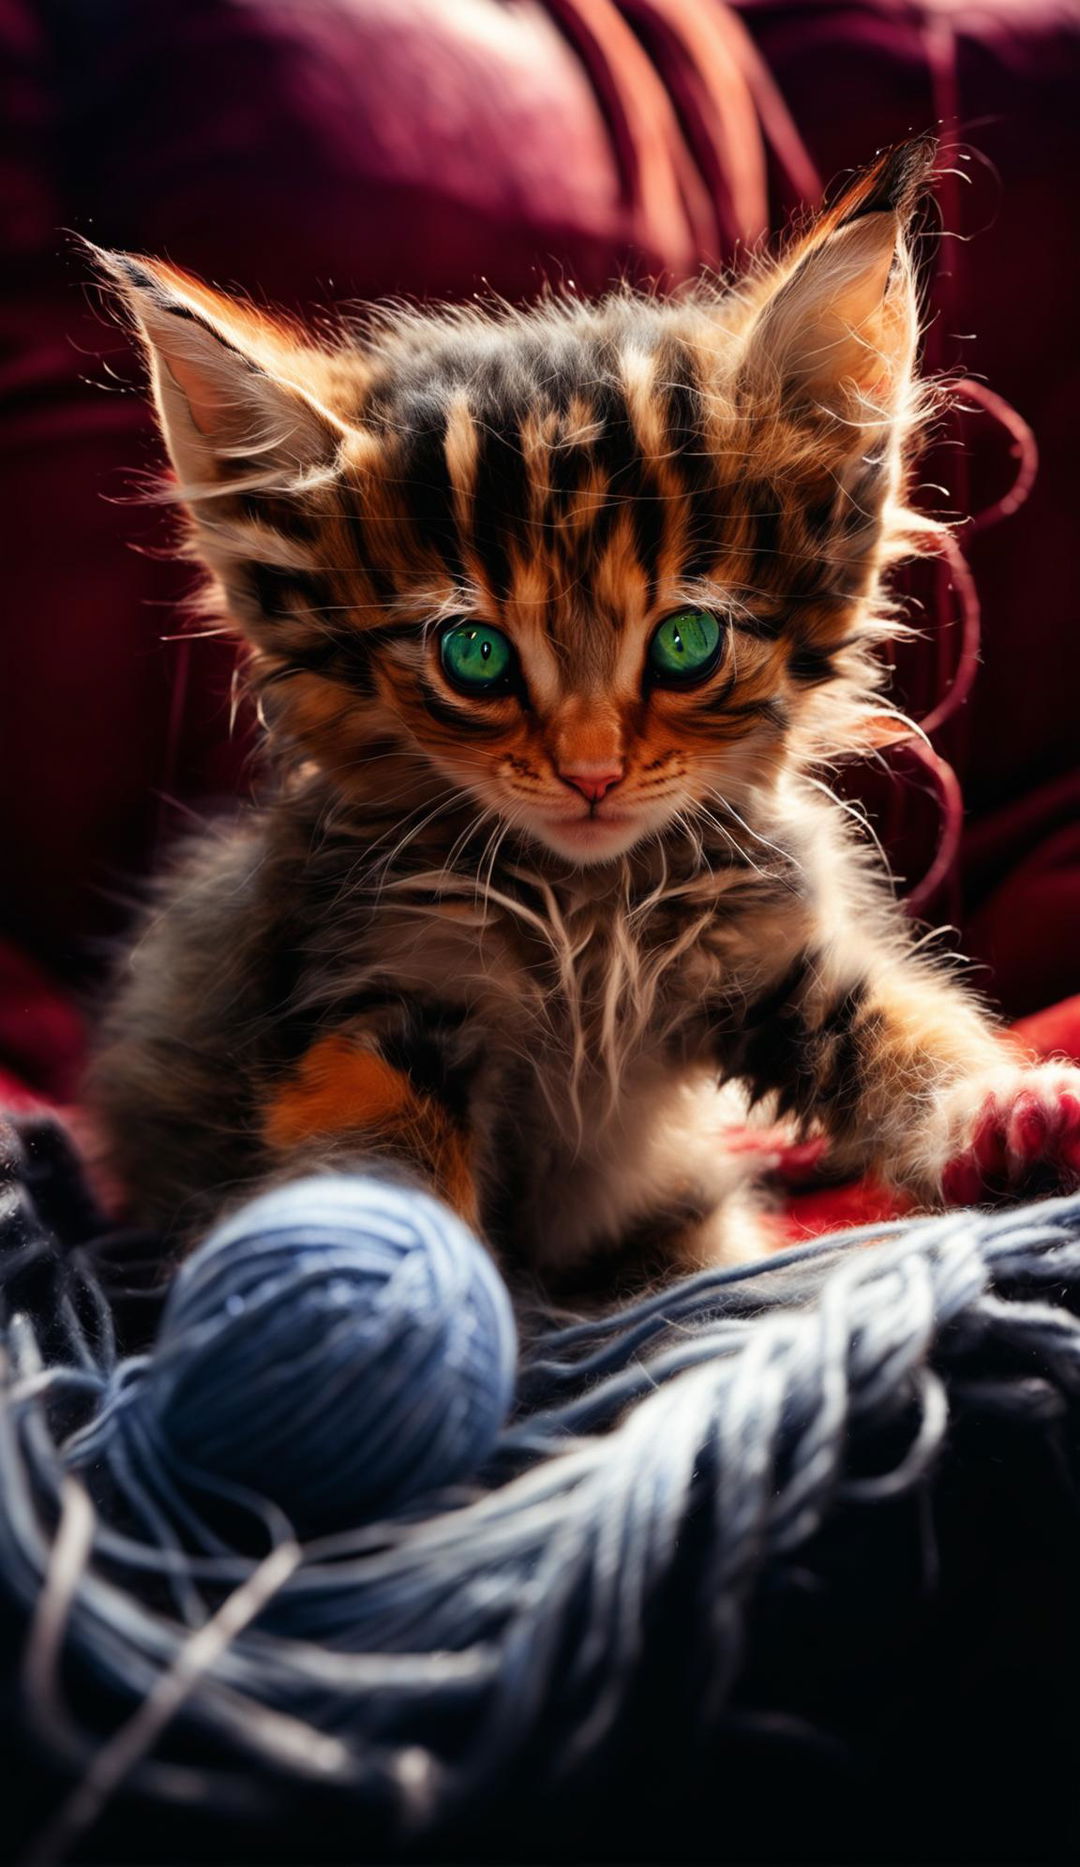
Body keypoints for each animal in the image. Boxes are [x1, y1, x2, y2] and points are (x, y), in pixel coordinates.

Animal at [88, 141, 1076, 1299]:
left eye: (685, 643)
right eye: (474, 657)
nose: (591, 772)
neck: (591, 906)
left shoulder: (775, 961)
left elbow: (898, 1026)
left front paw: (995, 1110)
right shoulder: (370, 995)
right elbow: (374, 1158)